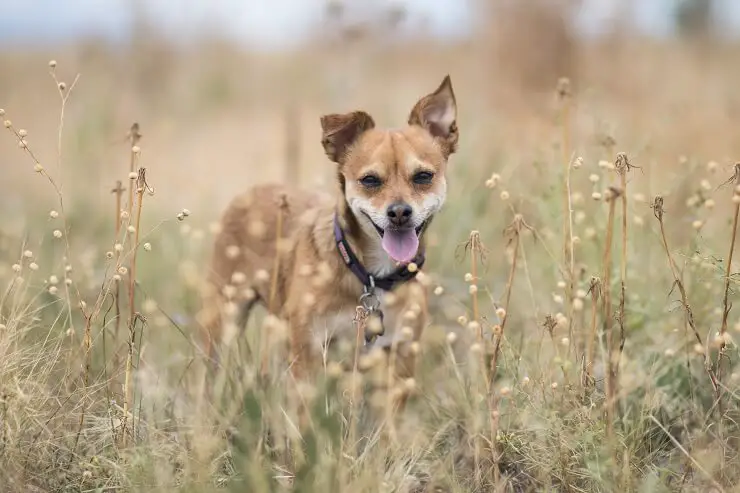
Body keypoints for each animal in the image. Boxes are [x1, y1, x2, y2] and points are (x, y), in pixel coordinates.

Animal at [199, 76, 460, 380]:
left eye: (423, 177)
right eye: (370, 180)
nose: (399, 212)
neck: (372, 275)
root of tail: (250, 193)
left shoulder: (400, 358)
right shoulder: (308, 352)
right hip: (223, 318)